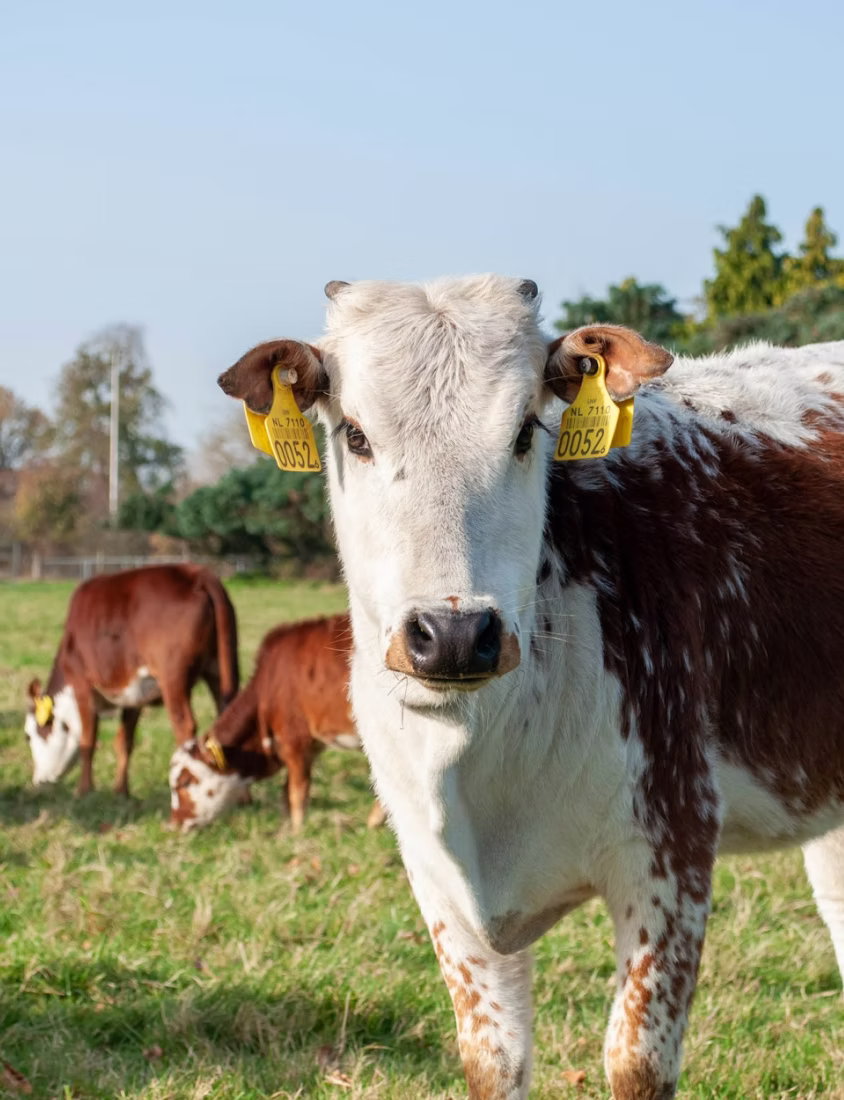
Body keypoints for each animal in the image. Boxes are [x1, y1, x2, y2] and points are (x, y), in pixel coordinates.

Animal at [25, 564, 239, 798]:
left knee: (185, 726)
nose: (38, 782)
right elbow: (124, 742)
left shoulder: (82, 683)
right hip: (220, 667)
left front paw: (83, 790)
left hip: (173, 678)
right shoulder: (134, 692)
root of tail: (195, 574)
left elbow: (87, 741)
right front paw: (121, 791)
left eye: (30, 735)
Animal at [168, 612, 385, 831]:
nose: (172, 823)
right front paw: (285, 827)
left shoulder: (295, 738)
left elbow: (297, 791)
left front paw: (297, 831)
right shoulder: (308, 745)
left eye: (184, 783)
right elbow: (285, 791)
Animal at [218, 275, 844, 1100]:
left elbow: (636, 1062)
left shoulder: (671, 846)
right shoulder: (439, 882)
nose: (453, 633)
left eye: (525, 431)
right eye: (354, 433)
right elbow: (493, 1058)